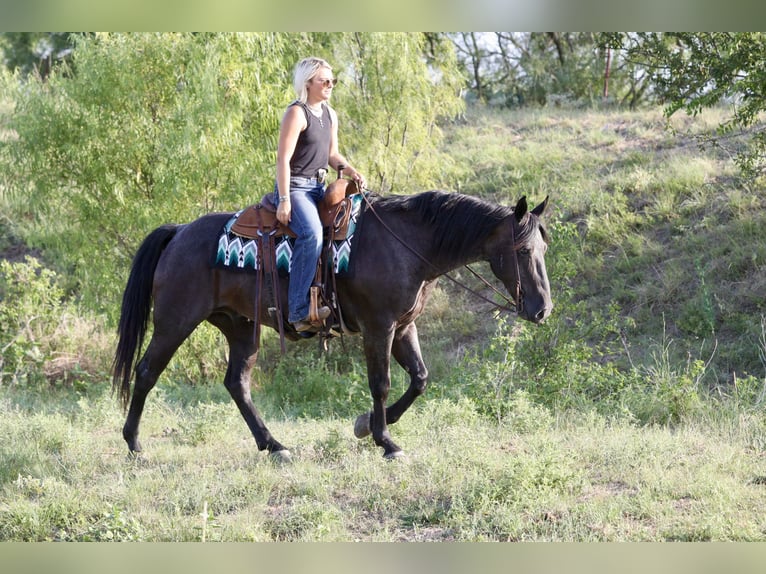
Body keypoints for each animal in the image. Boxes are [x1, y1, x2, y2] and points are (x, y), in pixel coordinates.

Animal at [112, 190, 552, 460]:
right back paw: (134, 444)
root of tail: (178, 233)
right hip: (175, 321)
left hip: (241, 327)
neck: (407, 245)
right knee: (146, 371)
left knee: (237, 383)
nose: (542, 309)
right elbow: (382, 383)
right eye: (523, 250)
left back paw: (274, 445)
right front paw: (385, 441)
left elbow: (420, 379)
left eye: (543, 248)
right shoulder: (379, 327)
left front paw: (367, 425)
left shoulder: (403, 327)